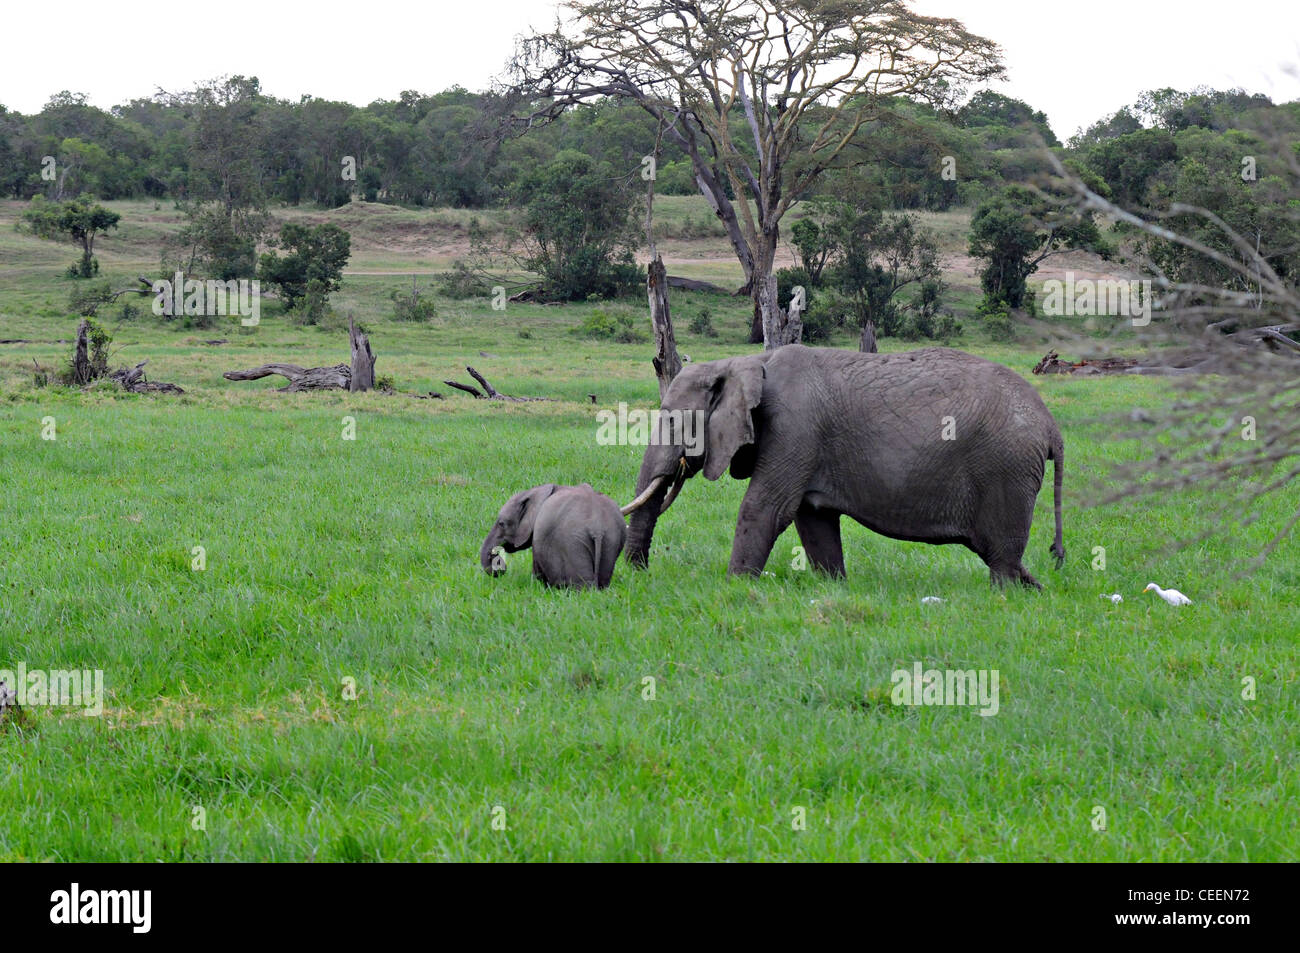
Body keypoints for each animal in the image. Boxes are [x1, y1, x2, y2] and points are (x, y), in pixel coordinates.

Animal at [480, 483, 626, 587]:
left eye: (501, 524)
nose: (500, 565)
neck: (536, 490)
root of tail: (597, 527)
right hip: (612, 538)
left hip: (573, 543)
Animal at [621, 348, 1066, 587]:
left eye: (672, 419)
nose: (640, 574)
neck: (745, 362)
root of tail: (1052, 428)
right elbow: (812, 518)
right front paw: (835, 586)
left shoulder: (795, 426)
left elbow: (767, 507)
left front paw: (735, 588)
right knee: (1000, 553)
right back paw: (1037, 589)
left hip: (1006, 470)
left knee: (1001, 556)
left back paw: (1004, 595)